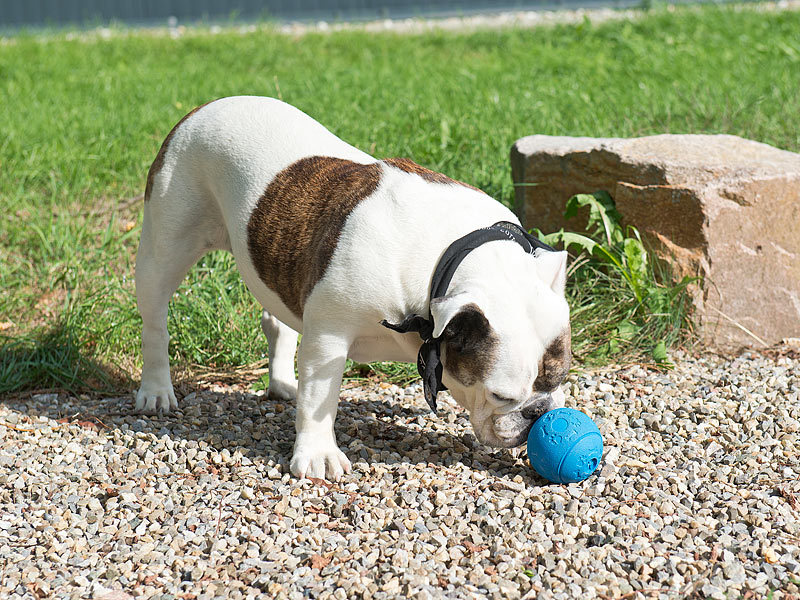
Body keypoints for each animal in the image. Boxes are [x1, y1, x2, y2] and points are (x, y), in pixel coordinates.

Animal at [139, 96, 576, 480]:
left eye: (559, 380)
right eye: (502, 396)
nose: (538, 412)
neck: (447, 258)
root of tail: (204, 108)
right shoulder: (328, 339)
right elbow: (319, 397)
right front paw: (317, 454)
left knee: (278, 321)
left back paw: (282, 384)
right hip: (167, 241)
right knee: (155, 317)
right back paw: (156, 390)